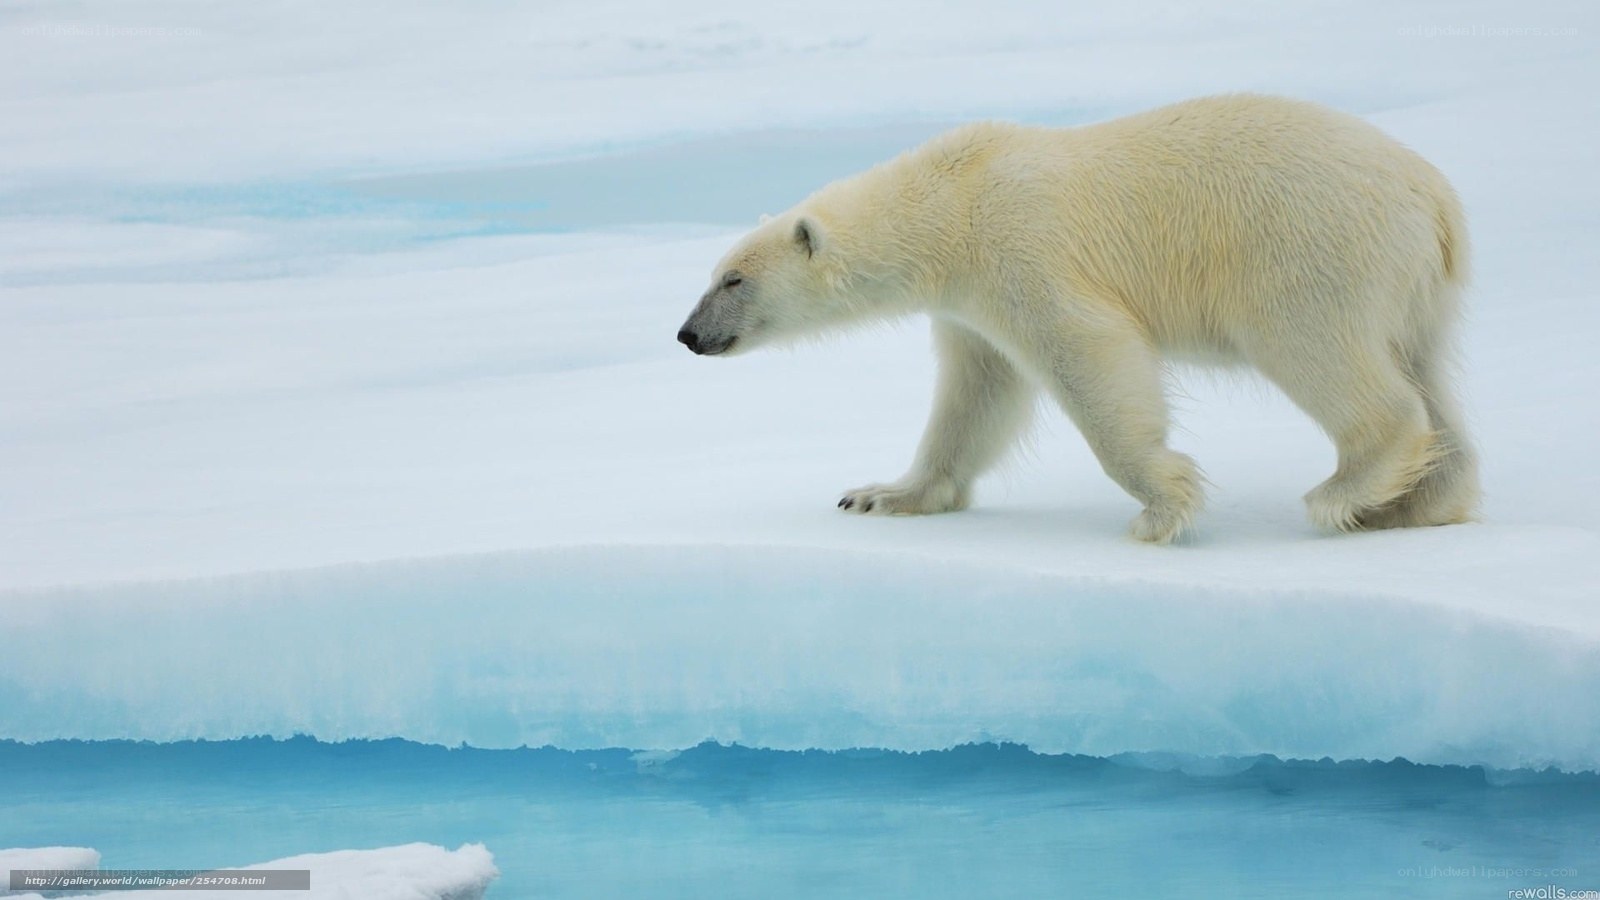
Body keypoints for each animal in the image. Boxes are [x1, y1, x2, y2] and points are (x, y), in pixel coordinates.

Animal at [677, 94, 1478, 543]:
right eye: (712, 275)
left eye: (734, 279)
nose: (687, 335)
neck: (950, 202)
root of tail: (1434, 197)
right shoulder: (969, 305)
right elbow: (976, 395)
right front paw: (880, 495)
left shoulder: (1021, 249)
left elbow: (1088, 353)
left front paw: (1163, 506)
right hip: (1415, 288)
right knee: (1427, 373)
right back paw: (1417, 503)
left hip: (1307, 250)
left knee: (1324, 355)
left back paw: (1345, 491)